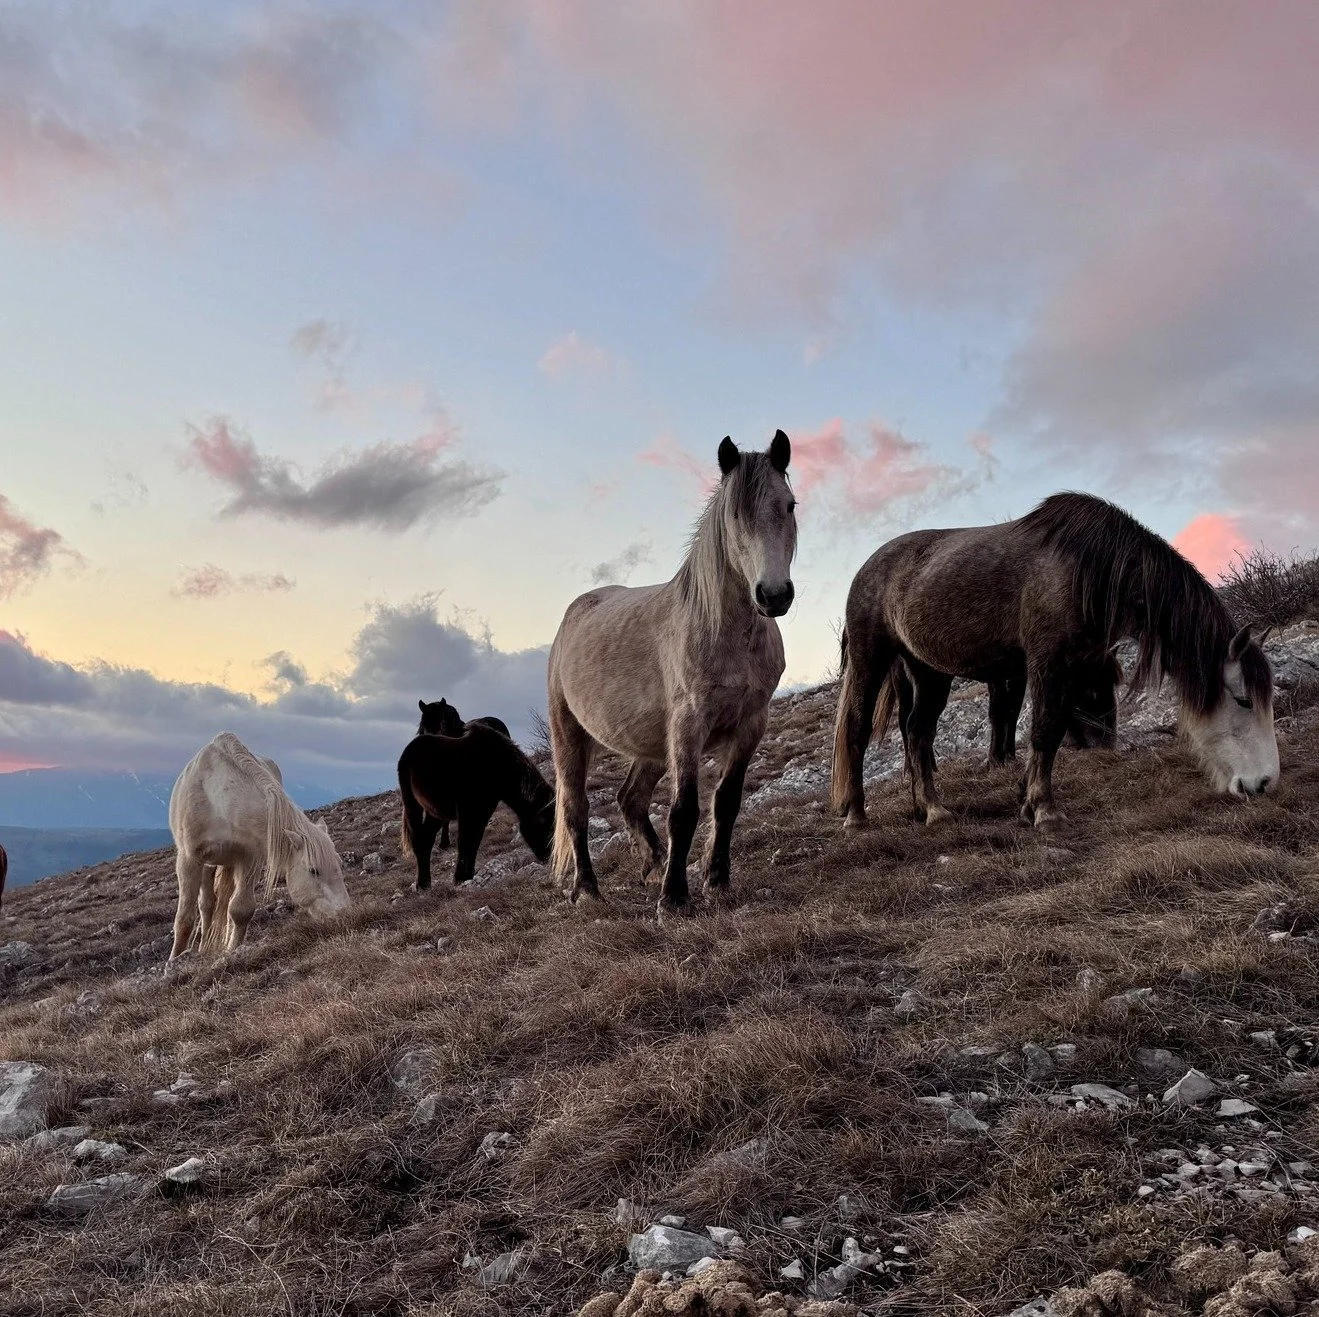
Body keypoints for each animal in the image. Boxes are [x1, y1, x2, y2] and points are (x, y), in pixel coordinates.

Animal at [168, 733, 348, 958]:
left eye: (339, 865)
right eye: (314, 871)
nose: (344, 914)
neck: (220, 797)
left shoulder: (249, 859)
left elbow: (240, 909)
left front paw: (232, 950)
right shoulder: (189, 859)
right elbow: (184, 918)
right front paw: (173, 961)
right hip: (207, 864)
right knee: (206, 905)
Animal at [398, 723, 555, 888]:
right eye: (546, 826)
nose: (549, 859)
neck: (498, 766)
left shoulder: (483, 810)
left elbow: (474, 840)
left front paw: (467, 876)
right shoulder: (468, 810)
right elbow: (466, 840)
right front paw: (461, 877)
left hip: (435, 812)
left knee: (426, 839)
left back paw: (426, 883)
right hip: (412, 805)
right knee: (418, 839)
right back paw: (421, 884)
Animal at [548, 431, 797, 914]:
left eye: (790, 505)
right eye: (734, 515)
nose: (774, 595)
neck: (724, 631)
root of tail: (574, 613)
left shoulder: (751, 724)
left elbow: (727, 802)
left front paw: (715, 879)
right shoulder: (688, 725)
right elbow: (684, 811)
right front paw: (674, 898)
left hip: (650, 746)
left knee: (630, 798)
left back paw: (654, 862)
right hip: (569, 735)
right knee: (576, 810)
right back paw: (588, 888)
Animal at [832, 491, 1277, 830]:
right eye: (1243, 700)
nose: (1264, 782)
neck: (1089, 570)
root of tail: (866, 568)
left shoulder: (1071, 666)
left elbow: (1056, 727)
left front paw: (1028, 802)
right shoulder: (1046, 661)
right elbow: (1045, 730)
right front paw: (1045, 810)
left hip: (929, 672)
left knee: (917, 732)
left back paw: (933, 810)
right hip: (872, 659)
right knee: (857, 730)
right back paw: (856, 816)